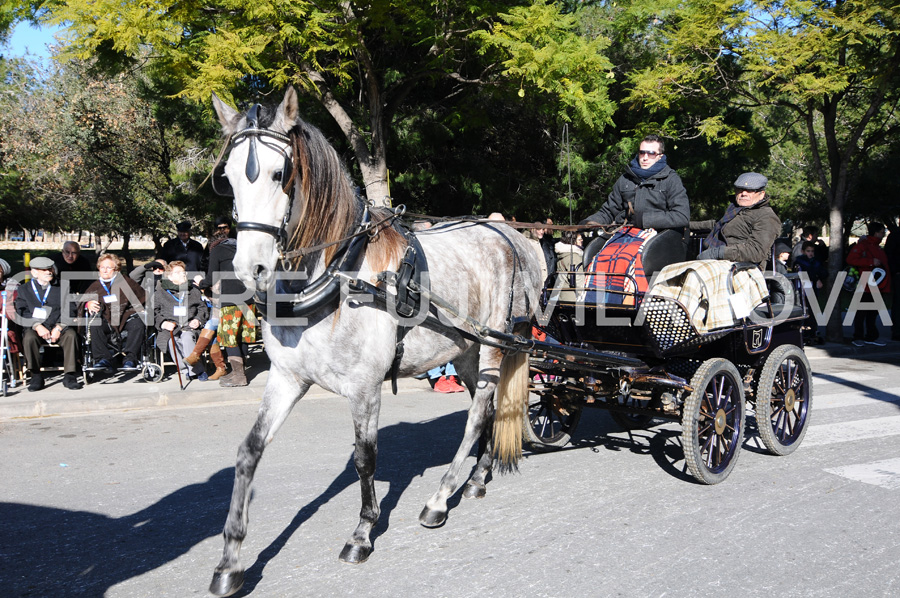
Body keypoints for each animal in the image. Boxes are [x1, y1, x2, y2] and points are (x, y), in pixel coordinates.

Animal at [207, 89, 540, 598]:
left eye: (280, 174)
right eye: (227, 180)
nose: (249, 270)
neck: (338, 271)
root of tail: (512, 236)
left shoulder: (364, 386)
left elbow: (366, 459)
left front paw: (362, 532)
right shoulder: (286, 378)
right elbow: (249, 452)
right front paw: (230, 559)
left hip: (492, 346)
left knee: (478, 413)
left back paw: (440, 497)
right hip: (464, 351)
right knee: (489, 411)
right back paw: (477, 478)